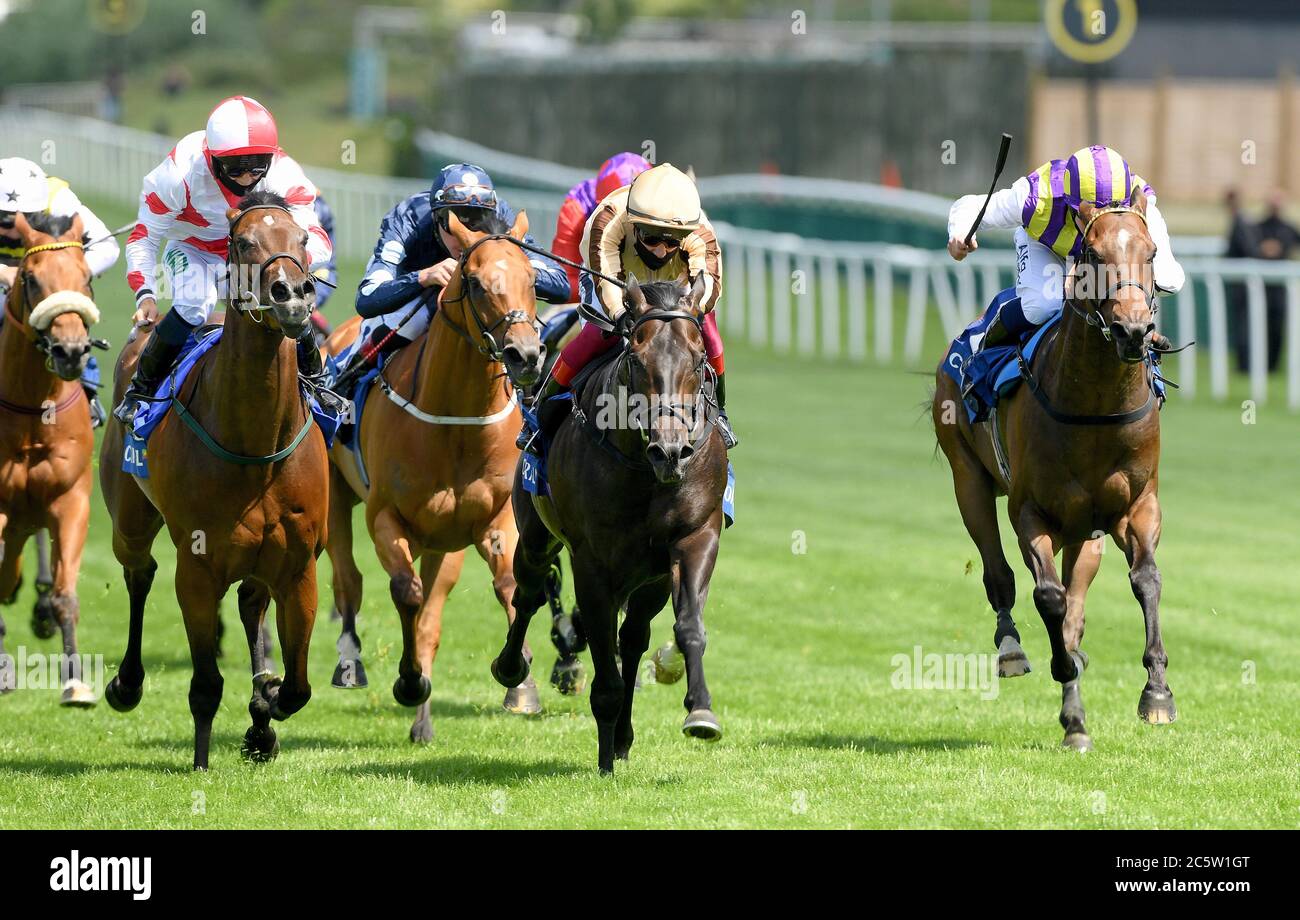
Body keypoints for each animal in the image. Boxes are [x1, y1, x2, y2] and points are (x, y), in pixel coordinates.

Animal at [98, 192, 327, 769]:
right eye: (243, 242)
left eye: (302, 239)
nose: (292, 296)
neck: (257, 446)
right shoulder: (198, 568)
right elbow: (205, 684)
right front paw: (203, 761)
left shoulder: (298, 565)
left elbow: (297, 687)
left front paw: (265, 706)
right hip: (129, 521)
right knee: (139, 573)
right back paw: (126, 684)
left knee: (249, 605)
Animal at [327, 206, 551, 738]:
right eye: (473, 282)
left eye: (533, 277)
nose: (526, 354)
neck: (455, 422)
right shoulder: (385, 516)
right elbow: (403, 592)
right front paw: (409, 681)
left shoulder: (493, 521)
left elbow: (508, 588)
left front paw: (518, 675)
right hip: (335, 497)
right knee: (348, 579)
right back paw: (350, 664)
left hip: (442, 545)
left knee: (429, 617)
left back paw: (422, 723)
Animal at [491, 276, 733, 774]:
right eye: (637, 360)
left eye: (699, 358)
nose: (671, 451)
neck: (644, 468)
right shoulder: (592, 563)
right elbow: (602, 656)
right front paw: (604, 757)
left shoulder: (694, 538)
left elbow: (688, 626)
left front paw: (700, 711)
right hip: (535, 536)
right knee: (528, 593)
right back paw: (512, 668)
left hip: (649, 580)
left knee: (634, 637)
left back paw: (624, 732)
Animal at [935, 191, 1180, 753]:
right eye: (1091, 254)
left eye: (1152, 252)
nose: (1134, 330)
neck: (1094, 406)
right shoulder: (1032, 511)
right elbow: (1047, 596)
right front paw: (1067, 686)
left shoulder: (1136, 506)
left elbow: (1146, 579)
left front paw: (1156, 692)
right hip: (968, 480)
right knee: (999, 573)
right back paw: (1013, 649)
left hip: (1084, 531)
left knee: (1076, 603)